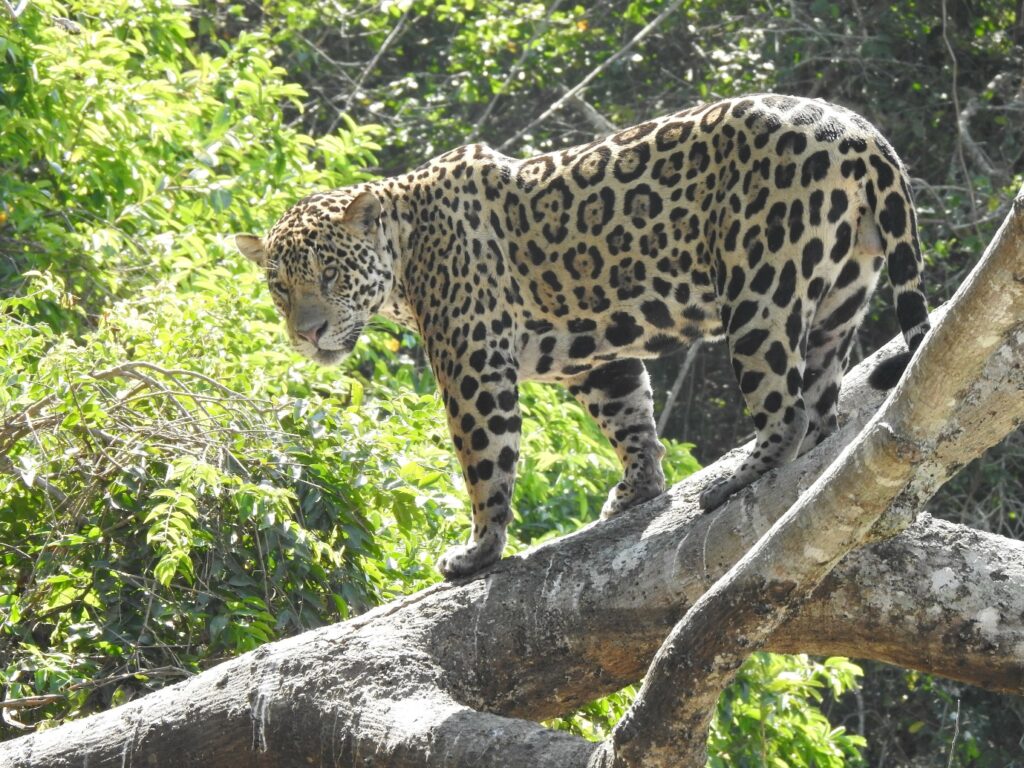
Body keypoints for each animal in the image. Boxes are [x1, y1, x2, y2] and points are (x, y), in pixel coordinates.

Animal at [236, 93, 931, 580]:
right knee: (823, 397)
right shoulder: (592, 358)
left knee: (784, 408)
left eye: (329, 274)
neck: (405, 254)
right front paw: (640, 490)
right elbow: (629, 416)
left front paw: (479, 552)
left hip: (760, 289)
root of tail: (858, 130)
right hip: (842, 289)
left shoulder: (472, 364)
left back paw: (736, 482)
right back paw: (808, 450)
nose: (308, 333)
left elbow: (485, 461)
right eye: (280, 288)